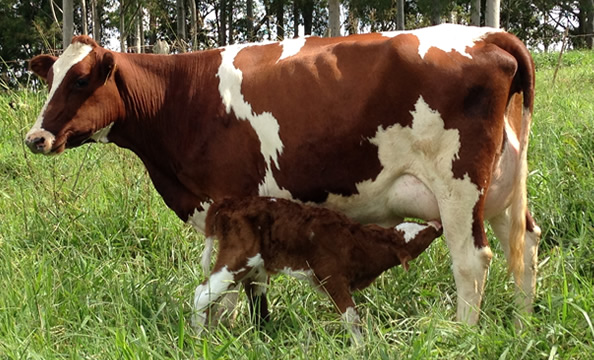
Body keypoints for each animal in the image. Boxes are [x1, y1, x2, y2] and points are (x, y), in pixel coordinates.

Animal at [25, 23, 540, 324]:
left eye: (80, 80)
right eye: (48, 79)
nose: (35, 138)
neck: (181, 98)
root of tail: (488, 35)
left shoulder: (230, 202)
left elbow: (232, 287)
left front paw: (227, 334)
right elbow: (250, 282)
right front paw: (258, 332)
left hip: (459, 187)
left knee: (471, 261)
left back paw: (463, 334)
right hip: (504, 189)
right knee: (526, 246)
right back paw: (522, 324)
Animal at [192, 197, 442, 344]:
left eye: (419, 226)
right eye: (424, 235)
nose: (437, 225)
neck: (360, 243)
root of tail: (228, 204)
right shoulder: (331, 275)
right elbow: (351, 316)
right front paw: (361, 347)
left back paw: (209, 334)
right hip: (239, 256)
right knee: (202, 294)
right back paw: (198, 339)